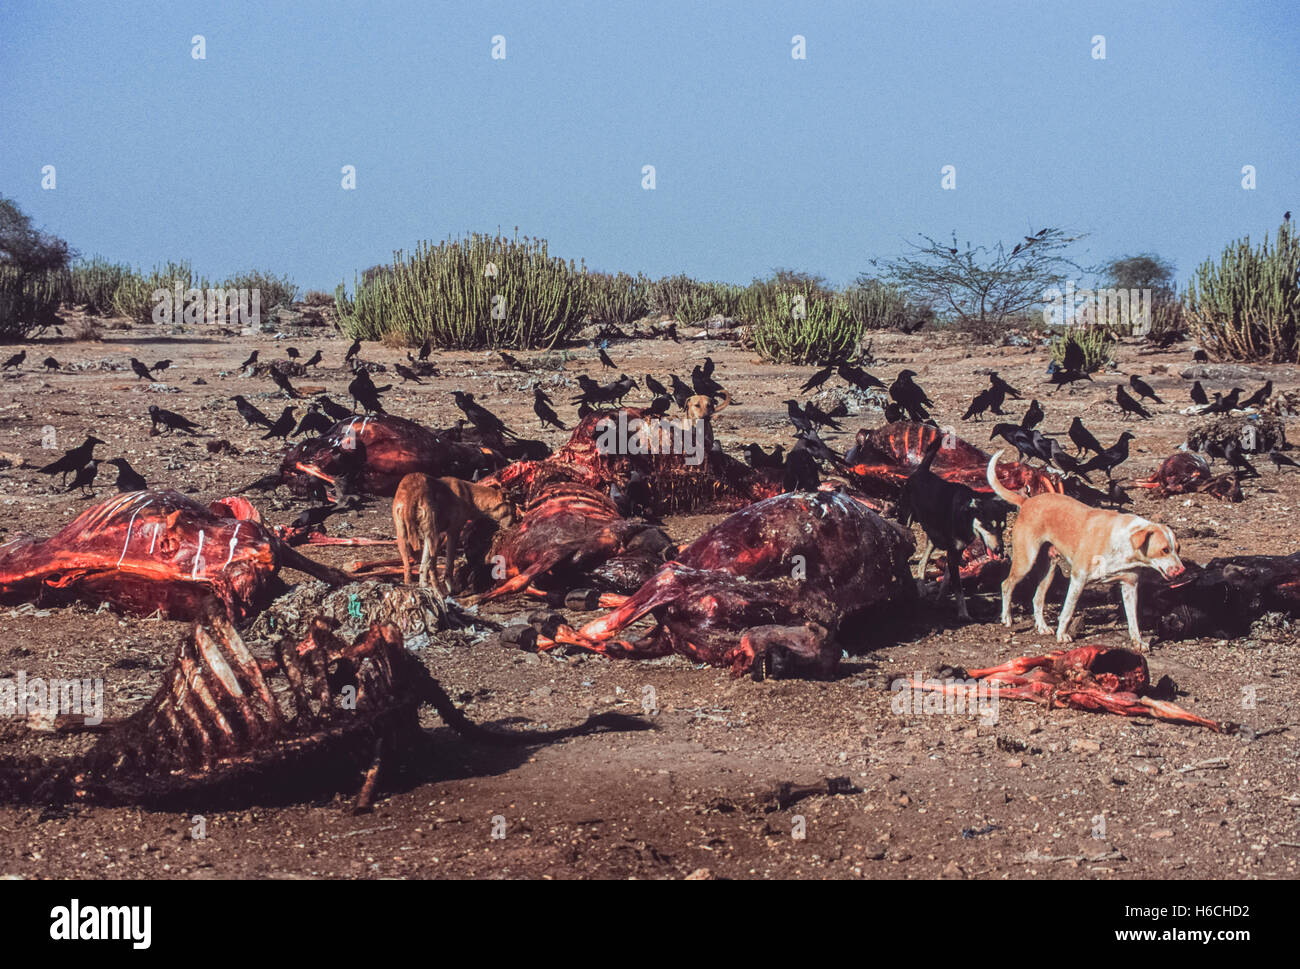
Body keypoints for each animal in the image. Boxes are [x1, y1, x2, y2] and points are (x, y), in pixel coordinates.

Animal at [899, 439, 1008, 619]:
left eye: (1003, 528)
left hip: (933, 537)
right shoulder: (952, 553)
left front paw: (940, 600)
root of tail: (921, 471)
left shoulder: (955, 552)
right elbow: (958, 589)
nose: (999, 549)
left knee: (922, 562)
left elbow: (947, 581)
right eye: (988, 526)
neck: (967, 515)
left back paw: (922, 588)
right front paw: (963, 614)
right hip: (905, 519)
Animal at [987, 447, 1185, 645]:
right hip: (1026, 561)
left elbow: (1133, 620)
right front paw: (1062, 635)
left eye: (1178, 549)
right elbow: (1068, 611)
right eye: (1164, 550)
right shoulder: (1078, 580)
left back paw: (1042, 626)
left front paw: (1138, 642)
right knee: (1007, 584)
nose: (1182, 571)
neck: (1124, 543)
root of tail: (1027, 502)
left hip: (1049, 568)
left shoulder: (1130, 586)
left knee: (1037, 599)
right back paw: (1007, 618)